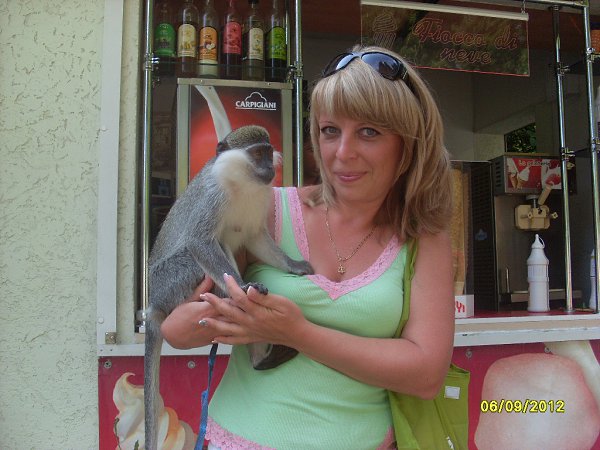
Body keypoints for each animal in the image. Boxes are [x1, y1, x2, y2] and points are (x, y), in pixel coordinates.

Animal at [144, 125, 313, 450]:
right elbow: (199, 241)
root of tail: (154, 302)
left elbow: (256, 237)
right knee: (210, 248)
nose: (270, 167)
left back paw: (259, 358)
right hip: (168, 282)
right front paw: (244, 287)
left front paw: (293, 265)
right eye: (257, 153)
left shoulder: (262, 199)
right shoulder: (213, 195)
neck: (243, 182)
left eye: (267, 151)